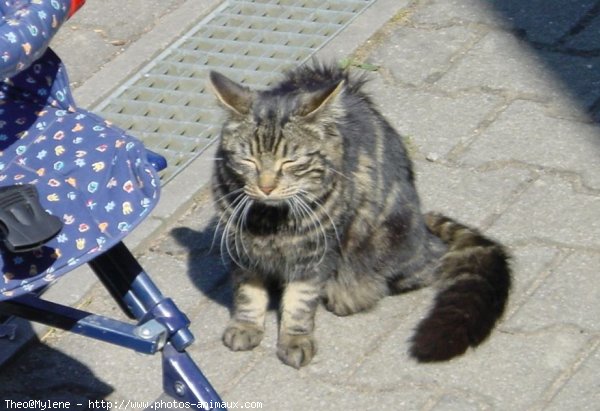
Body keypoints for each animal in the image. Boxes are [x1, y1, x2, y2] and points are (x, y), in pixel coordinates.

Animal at [207, 62, 510, 370]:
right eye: (248, 160)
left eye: (290, 162)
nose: (266, 186)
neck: (269, 221)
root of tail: (424, 228)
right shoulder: (239, 249)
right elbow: (248, 292)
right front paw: (245, 326)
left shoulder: (315, 254)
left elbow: (300, 300)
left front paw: (295, 339)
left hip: (391, 241)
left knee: (432, 263)